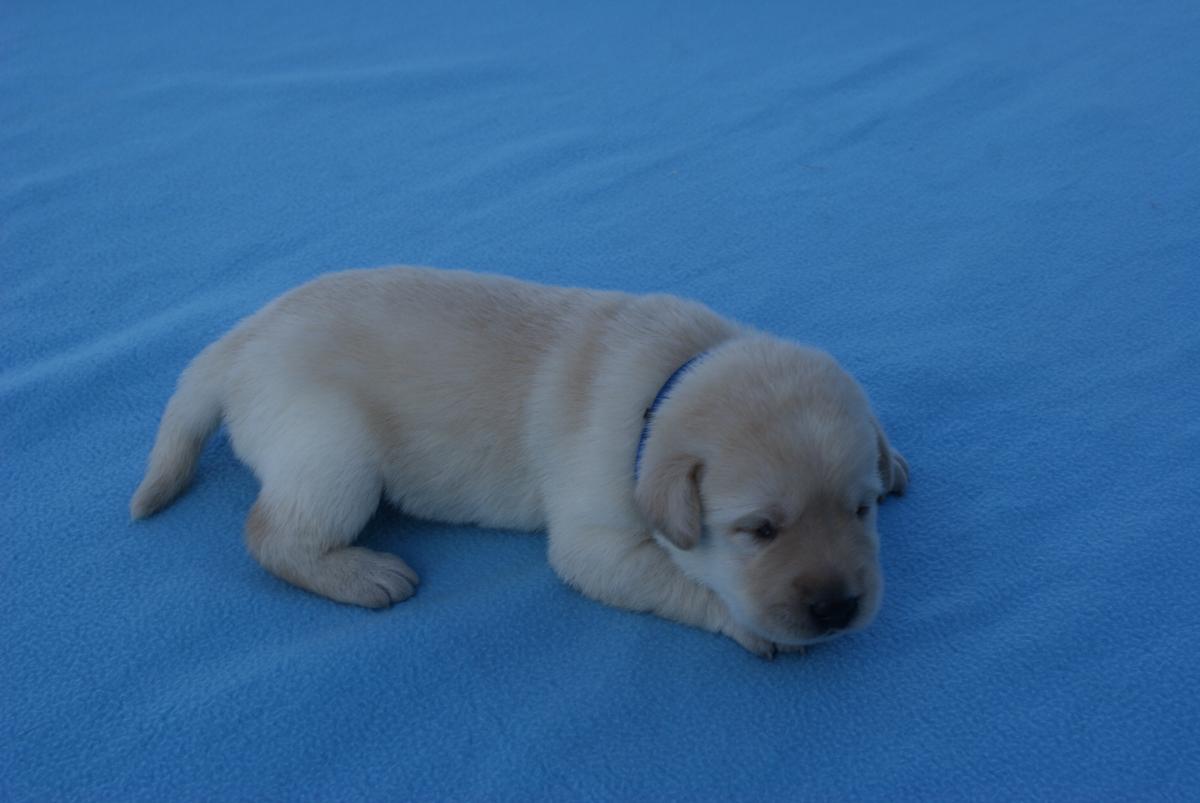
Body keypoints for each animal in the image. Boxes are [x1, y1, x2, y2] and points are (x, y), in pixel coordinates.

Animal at [131, 267, 908, 656]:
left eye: (861, 510)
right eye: (758, 530)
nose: (838, 607)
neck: (671, 380)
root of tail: (238, 340)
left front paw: (893, 456)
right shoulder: (596, 538)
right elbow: (675, 578)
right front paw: (748, 625)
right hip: (333, 450)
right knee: (272, 532)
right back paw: (364, 573)